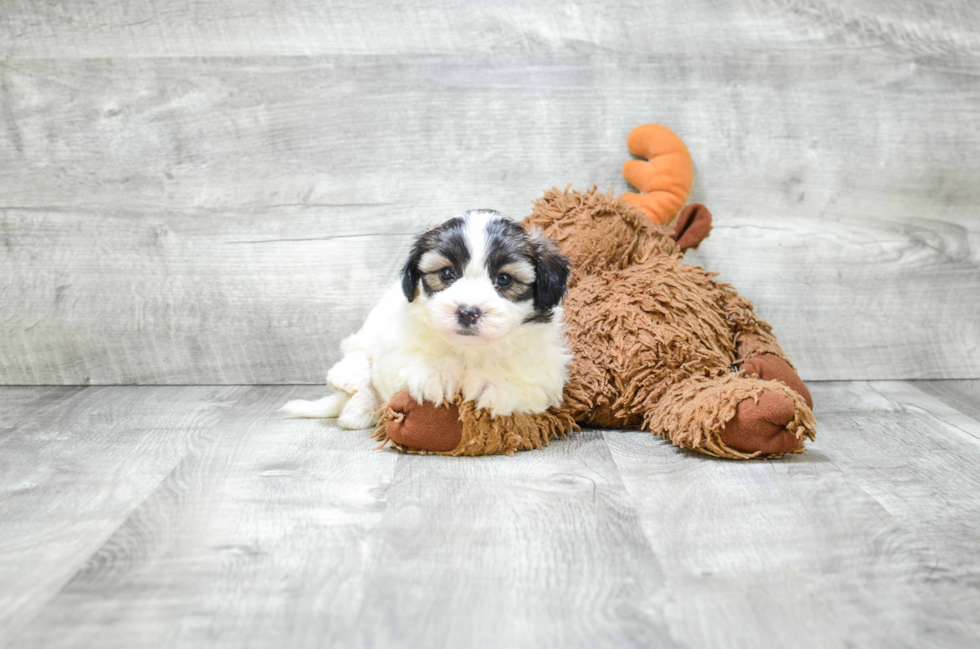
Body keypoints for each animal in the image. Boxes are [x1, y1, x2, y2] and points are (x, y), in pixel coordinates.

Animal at [284, 210, 572, 428]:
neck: (469, 349)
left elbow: (523, 383)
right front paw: (437, 374)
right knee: (359, 355)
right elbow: (408, 361)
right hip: (368, 330)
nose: (467, 311)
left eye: (503, 279)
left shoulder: (545, 375)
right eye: (446, 273)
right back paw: (351, 389)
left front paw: (492, 384)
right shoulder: (395, 348)